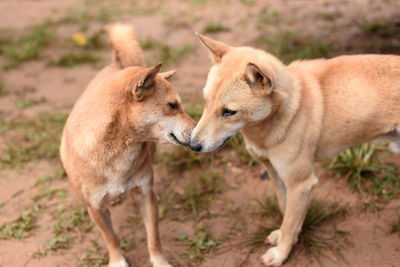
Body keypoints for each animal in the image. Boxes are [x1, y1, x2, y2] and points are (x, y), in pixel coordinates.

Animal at [59, 23, 195, 267]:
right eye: (173, 105)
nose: (199, 129)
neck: (118, 149)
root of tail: (117, 62)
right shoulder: (95, 209)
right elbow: (111, 238)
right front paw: (117, 261)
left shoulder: (146, 195)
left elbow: (153, 237)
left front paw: (160, 261)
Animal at [191, 34, 400, 266]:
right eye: (205, 101)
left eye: (229, 112)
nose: (192, 145)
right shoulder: (277, 176)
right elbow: (286, 211)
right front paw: (284, 235)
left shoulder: (300, 183)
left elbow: (290, 222)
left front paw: (281, 253)